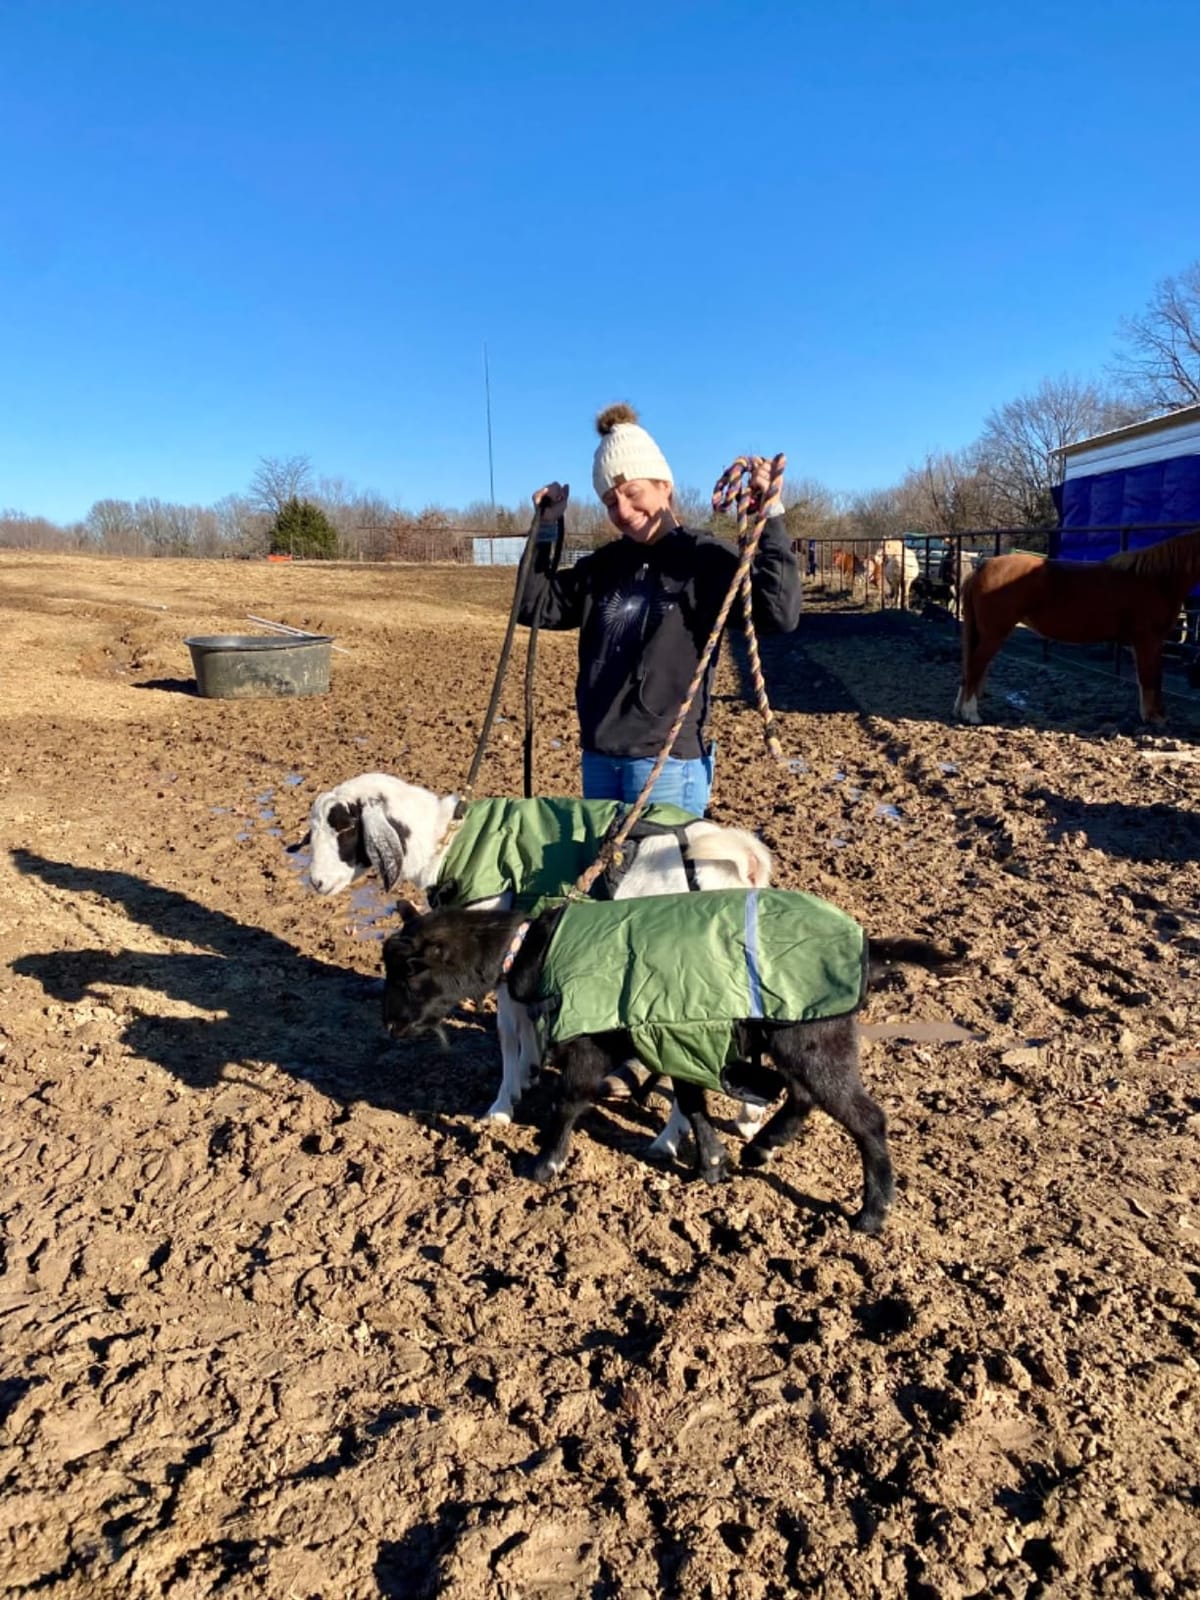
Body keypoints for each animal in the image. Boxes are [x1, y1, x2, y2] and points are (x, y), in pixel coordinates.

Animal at [298, 772, 774, 1147]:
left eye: (343, 826)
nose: (316, 882)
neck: (445, 843)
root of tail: (741, 862)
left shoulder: (502, 954)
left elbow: (508, 1031)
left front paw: (500, 1106)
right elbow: (525, 1023)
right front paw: (527, 1074)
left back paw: (669, 1140)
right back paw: (748, 1117)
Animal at [381, 892, 960, 1234]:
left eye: (410, 972)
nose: (389, 1027)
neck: (532, 950)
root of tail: (866, 948)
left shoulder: (593, 1040)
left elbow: (569, 1101)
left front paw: (544, 1165)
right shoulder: (671, 1037)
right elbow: (692, 1099)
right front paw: (713, 1165)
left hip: (813, 1035)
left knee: (865, 1117)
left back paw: (871, 1213)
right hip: (801, 1035)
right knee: (802, 1095)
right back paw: (762, 1148)